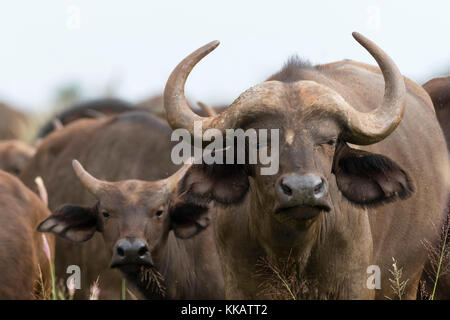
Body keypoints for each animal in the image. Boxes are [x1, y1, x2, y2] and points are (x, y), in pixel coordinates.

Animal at [163, 31, 448, 298]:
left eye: (330, 140)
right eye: (257, 142)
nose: (303, 189)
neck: (292, 253)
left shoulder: (357, 284)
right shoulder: (237, 284)